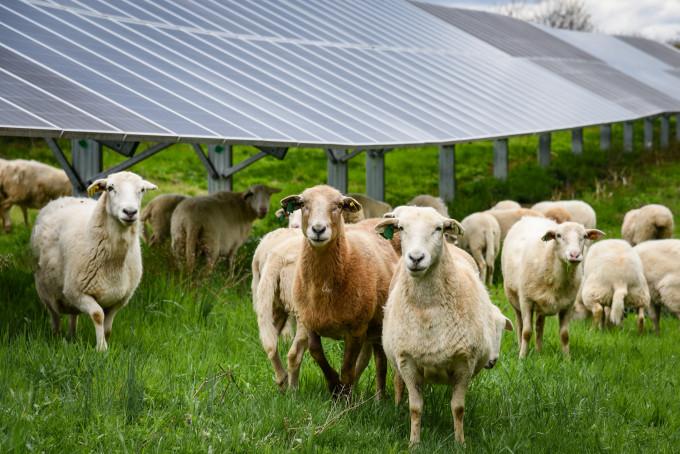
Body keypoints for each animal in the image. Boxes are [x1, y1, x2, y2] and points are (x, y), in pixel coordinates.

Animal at [30, 170, 157, 352]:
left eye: (142, 190)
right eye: (110, 188)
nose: (130, 212)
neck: (114, 264)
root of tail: (63, 198)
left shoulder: (120, 298)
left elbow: (108, 327)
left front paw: (106, 343)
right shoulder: (76, 291)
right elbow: (98, 315)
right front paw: (101, 349)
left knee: (73, 314)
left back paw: (72, 336)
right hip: (45, 288)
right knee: (54, 314)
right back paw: (56, 337)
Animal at [280, 184, 398, 398]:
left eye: (339, 206)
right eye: (303, 204)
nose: (318, 229)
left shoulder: (356, 329)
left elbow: (348, 367)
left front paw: (344, 394)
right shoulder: (310, 322)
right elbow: (316, 353)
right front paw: (334, 385)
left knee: (379, 361)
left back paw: (379, 398)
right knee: (378, 356)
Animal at [374, 207, 512, 446]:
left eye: (438, 228)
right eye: (401, 227)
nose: (416, 258)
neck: (428, 309)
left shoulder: (464, 363)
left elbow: (458, 408)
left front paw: (460, 442)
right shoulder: (407, 361)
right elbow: (415, 408)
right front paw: (414, 443)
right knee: (399, 383)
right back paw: (397, 407)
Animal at [500, 216, 604, 358]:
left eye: (584, 236)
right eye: (558, 236)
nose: (575, 255)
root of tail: (529, 217)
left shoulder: (568, 305)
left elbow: (565, 335)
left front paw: (567, 358)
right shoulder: (526, 300)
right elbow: (526, 332)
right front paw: (522, 357)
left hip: (541, 305)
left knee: (539, 326)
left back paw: (539, 351)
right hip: (514, 299)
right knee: (520, 325)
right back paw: (520, 347)